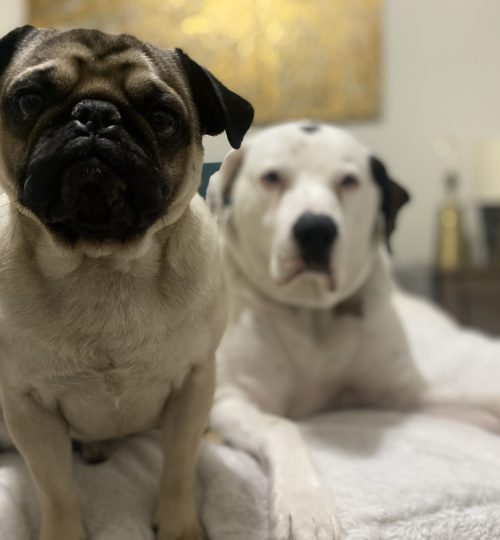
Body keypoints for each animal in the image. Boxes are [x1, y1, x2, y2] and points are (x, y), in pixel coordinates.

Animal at [207, 122, 500, 540]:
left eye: (349, 181)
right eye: (272, 177)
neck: (312, 313)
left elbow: (475, 396)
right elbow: (283, 427)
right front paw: (305, 504)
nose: (315, 229)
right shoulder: (231, 402)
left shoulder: (405, 393)